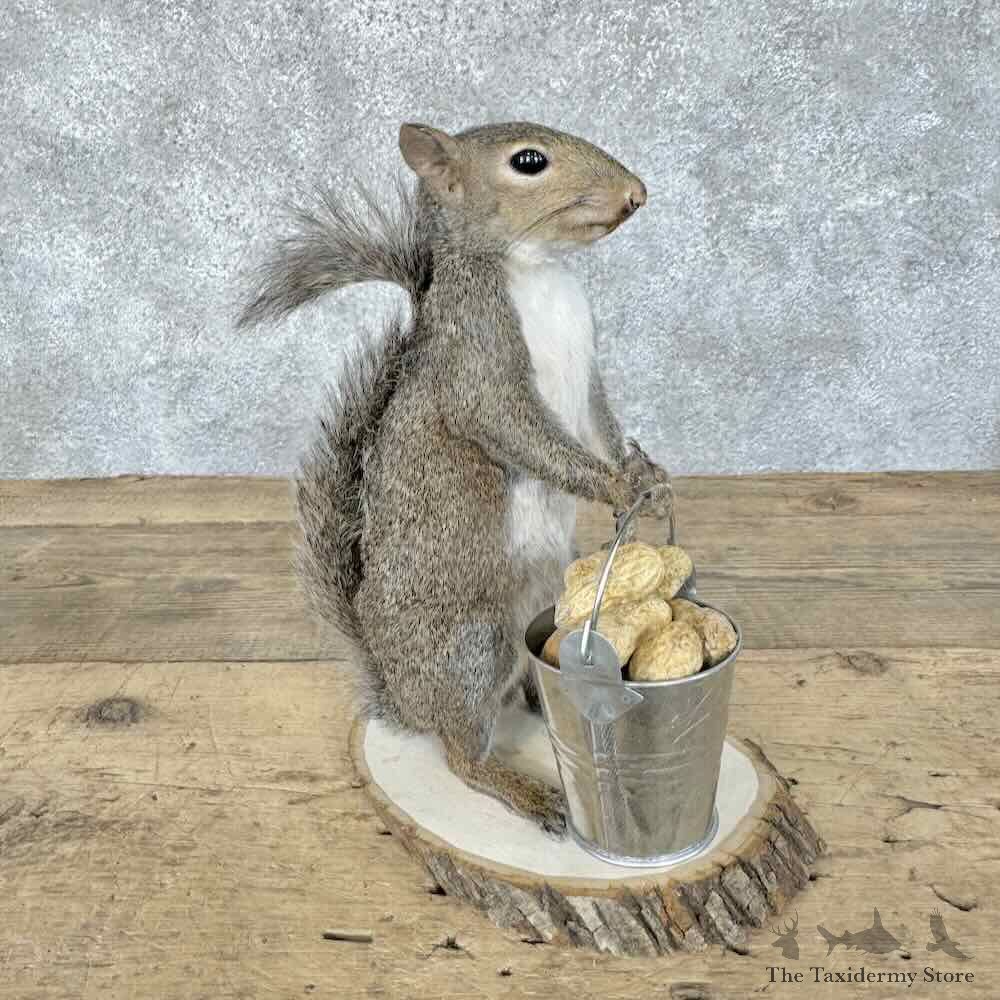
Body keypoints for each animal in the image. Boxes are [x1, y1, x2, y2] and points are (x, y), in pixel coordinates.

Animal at [238, 121, 672, 835]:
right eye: (529, 161)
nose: (636, 194)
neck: (539, 271)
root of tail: (402, 700)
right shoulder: (479, 367)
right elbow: (521, 434)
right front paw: (618, 488)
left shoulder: (587, 385)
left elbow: (602, 426)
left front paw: (650, 478)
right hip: (471, 645)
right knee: (461, 754)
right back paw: (523, 788)